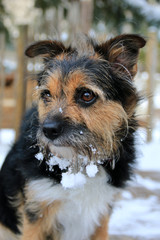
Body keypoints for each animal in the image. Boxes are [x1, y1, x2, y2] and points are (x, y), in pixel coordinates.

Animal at [0, 34, 145, 240]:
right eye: (46, 94)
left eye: (86, 95)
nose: (47, 130)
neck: (80, 162)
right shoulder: (36, 215)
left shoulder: (101, 218)